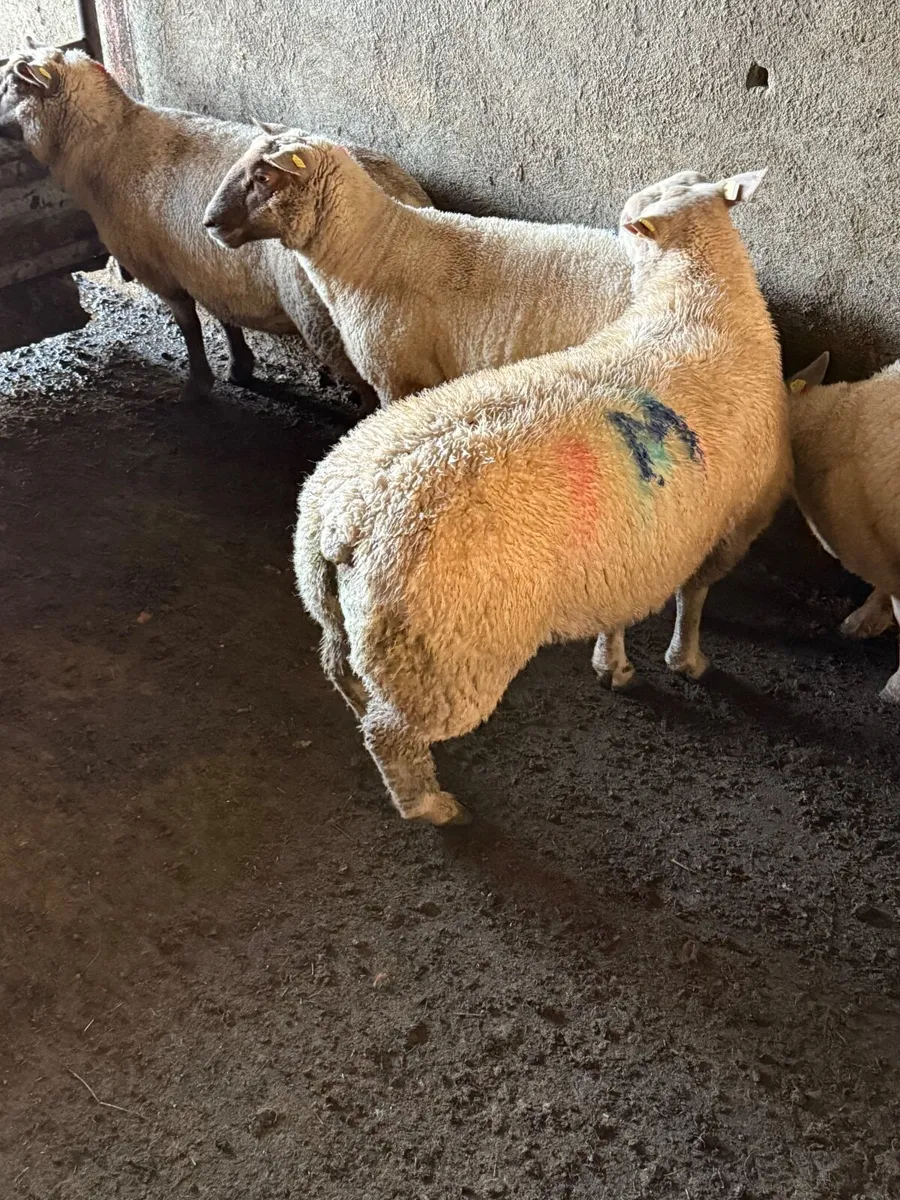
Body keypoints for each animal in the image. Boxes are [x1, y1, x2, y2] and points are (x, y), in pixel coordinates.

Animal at [0, 47, 431, 407]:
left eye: (9, 85)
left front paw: (198, 383)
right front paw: (240, 366)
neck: (106, 146)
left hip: (326, 324)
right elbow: (225, 315)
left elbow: (189, 325)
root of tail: (401, 202)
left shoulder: (160, 271)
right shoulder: (208, 264)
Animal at [293, 168, 788, 825]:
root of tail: (341, 519)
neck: (695, 301)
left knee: (341, 672)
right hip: (441, 654)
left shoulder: (635, 543)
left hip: (346, 618)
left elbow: (625, 608)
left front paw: (615, 664)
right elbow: (695, 597)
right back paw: (429, 805)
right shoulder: (734, 525)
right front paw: (688, 661)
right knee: (392, 733)